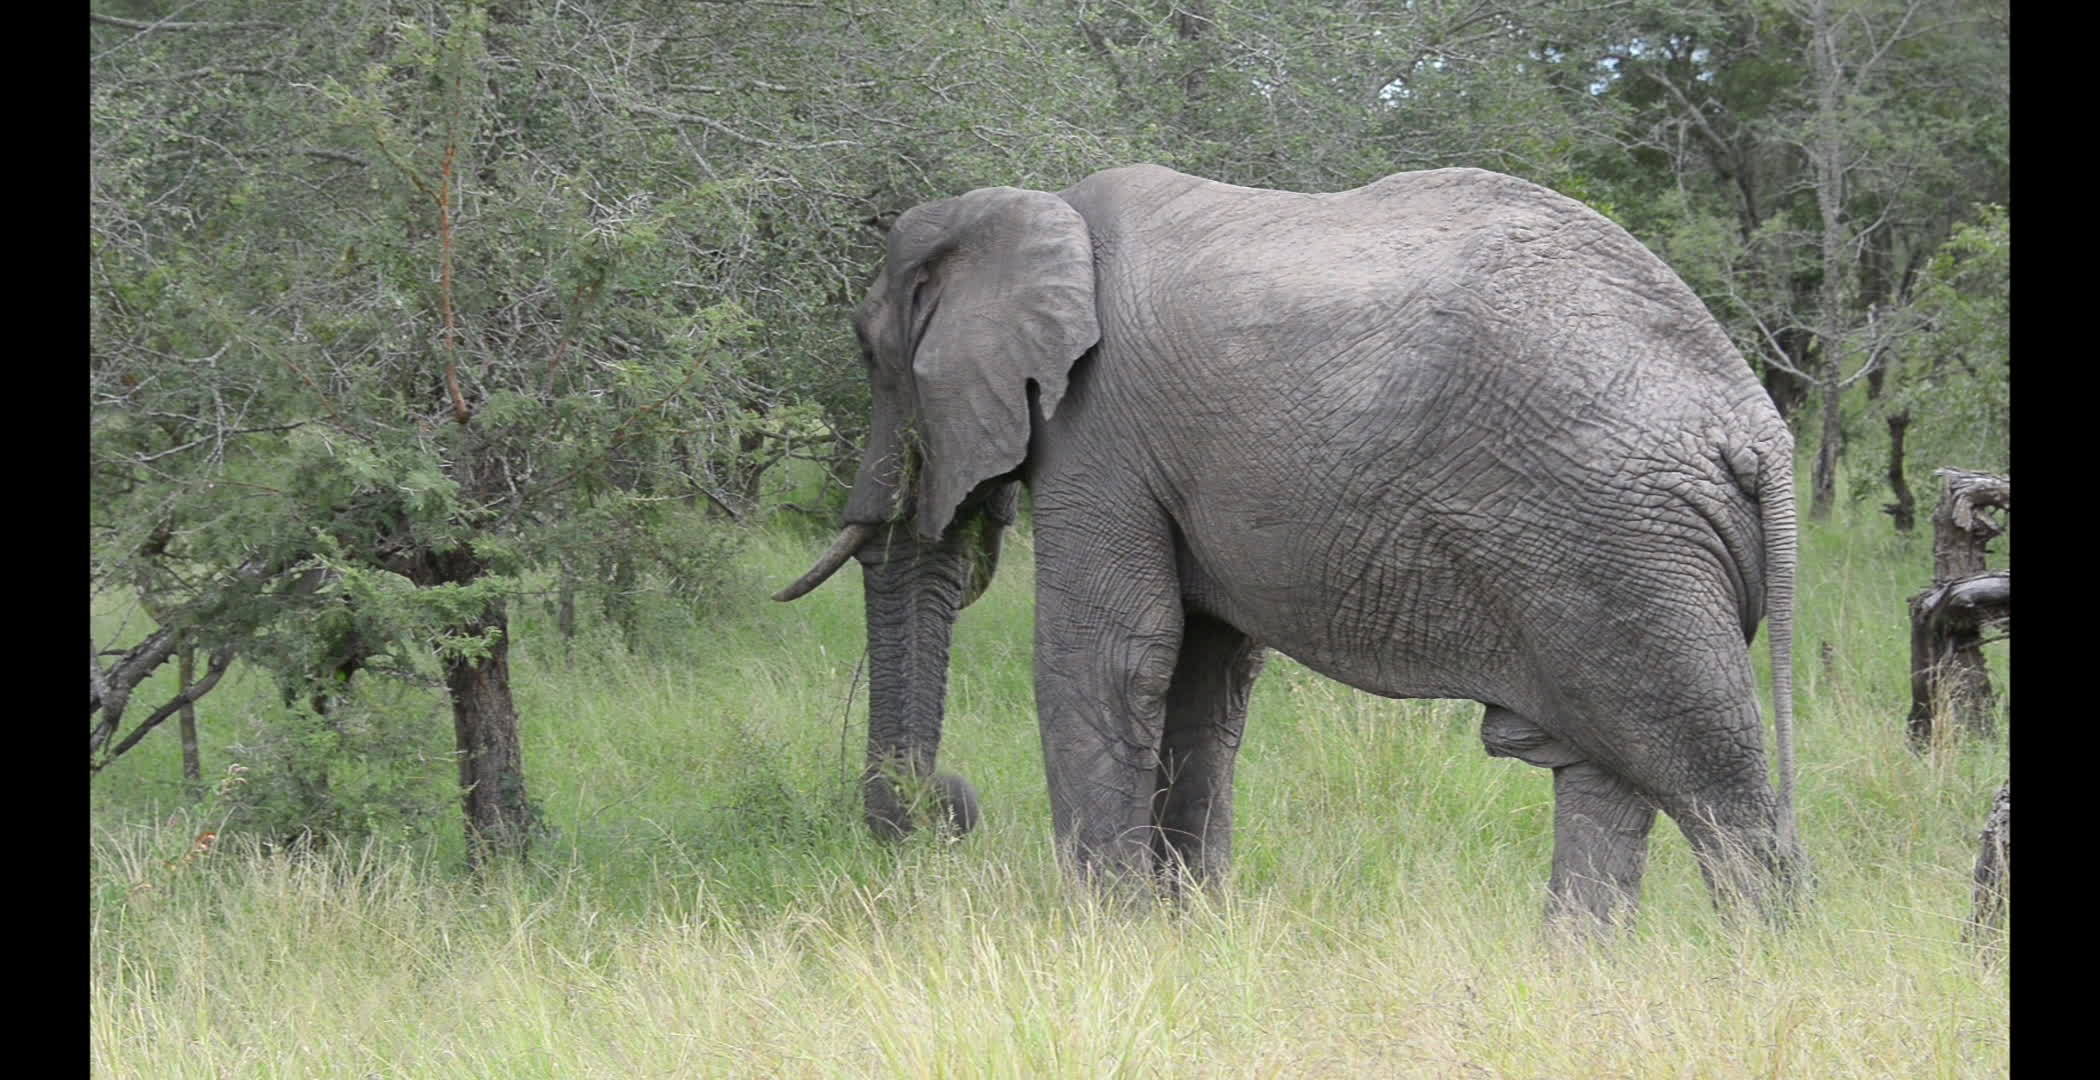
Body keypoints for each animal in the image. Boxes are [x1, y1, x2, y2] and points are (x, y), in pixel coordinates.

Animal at [781, 161, 1797, 924]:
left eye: (869, 354)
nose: (939, 809)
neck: (1034, 206)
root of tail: (1755, 425)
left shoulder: (1100, 429)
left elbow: (1111, 656)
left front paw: (1105, 936)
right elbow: (1200, 679)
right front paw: (1186, 928)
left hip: (1624, 544)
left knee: (1718, 789)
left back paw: (1754, 971)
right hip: (1618, 551)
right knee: (1607, 774)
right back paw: (1570, 972)